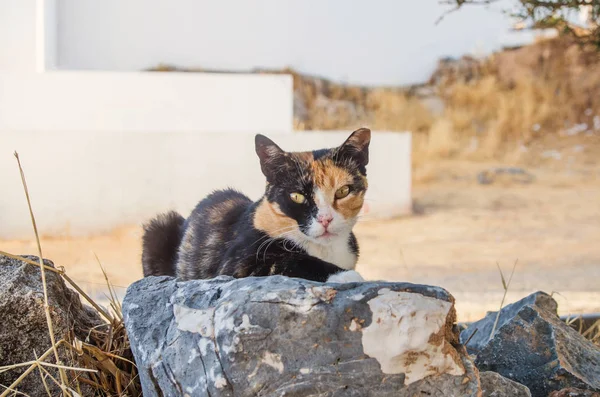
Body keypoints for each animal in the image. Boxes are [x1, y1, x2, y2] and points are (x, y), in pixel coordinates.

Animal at [143, 127, 372, 282]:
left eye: (343, 191)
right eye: (296, 196)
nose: (326, 219)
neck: (325, 249)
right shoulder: (236, 265)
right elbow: (289, 260)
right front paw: (345, 275)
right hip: (160, 226)